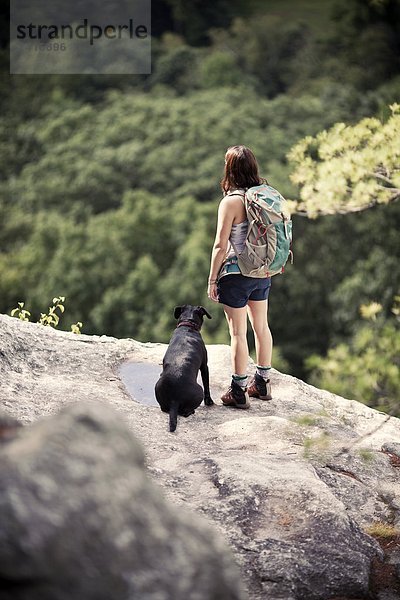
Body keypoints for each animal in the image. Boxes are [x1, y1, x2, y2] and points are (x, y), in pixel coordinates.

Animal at [155, 304, 214, 432]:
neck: (187, 325)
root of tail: (174, 399)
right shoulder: (204, 366)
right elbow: (207, 385)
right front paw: (209, 402)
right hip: (199, 391)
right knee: (186, 411)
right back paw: (192, 411)